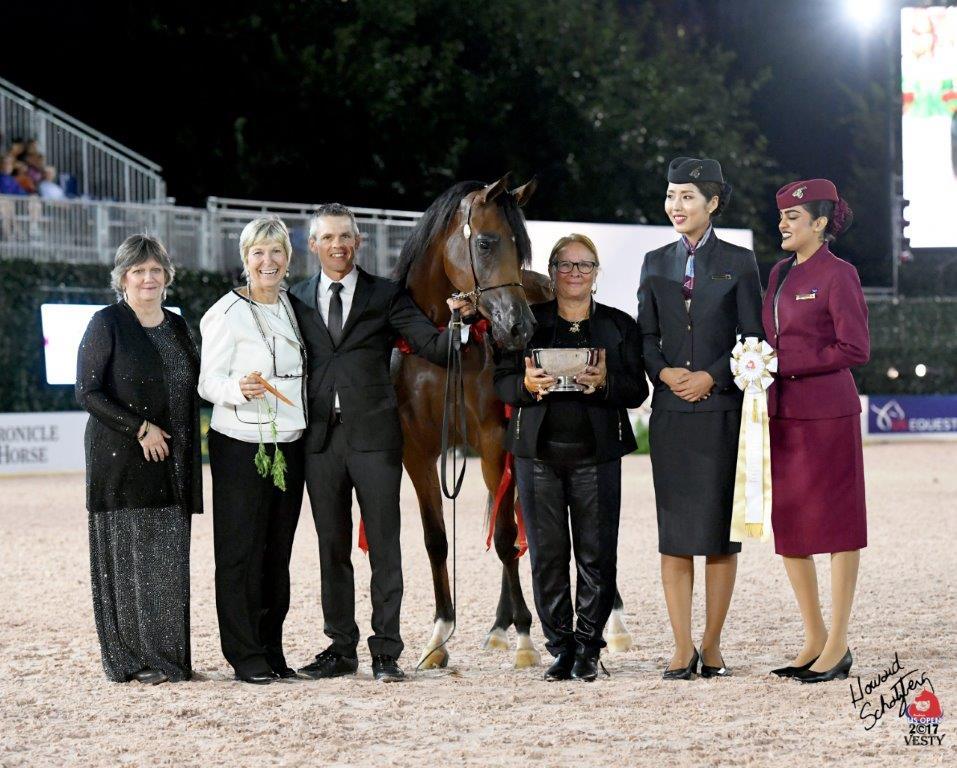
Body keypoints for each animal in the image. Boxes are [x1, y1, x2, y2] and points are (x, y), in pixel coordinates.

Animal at [391, 174, 634, 669]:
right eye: (485, 242)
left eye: (520, 248)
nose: (519, 327)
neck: (443, 347)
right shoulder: (417, 452)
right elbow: (435, 539)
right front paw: (439, 637)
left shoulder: (492, 442)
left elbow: (505, 538)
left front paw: (525, 637)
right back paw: (499, 627)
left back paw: (611, 626)